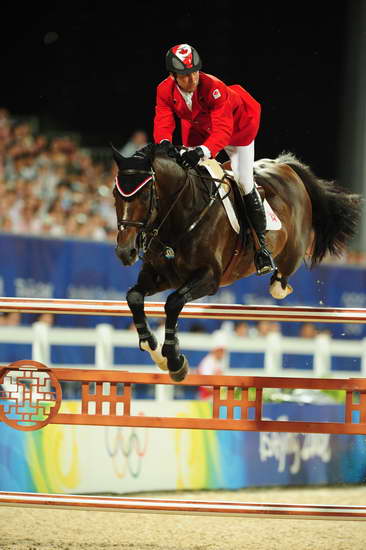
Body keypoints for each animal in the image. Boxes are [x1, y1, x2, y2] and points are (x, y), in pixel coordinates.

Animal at [112, 143, 364, 384]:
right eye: (115, 194)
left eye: (145, 195)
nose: (125, 252)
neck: (180, 214)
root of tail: (285, 167)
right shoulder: (161, 276)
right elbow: (134, 297)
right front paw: (155, 351)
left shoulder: (209, 278)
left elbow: (173, 302)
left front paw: (175, 361)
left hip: (293, 249)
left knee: (282, 279)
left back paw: (274, 274)